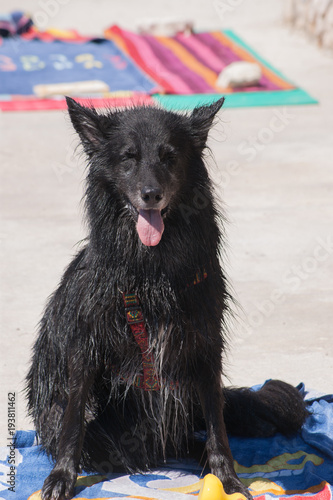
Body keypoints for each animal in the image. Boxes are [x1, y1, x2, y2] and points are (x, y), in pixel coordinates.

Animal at [25, 97, 306, 500]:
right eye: (128, 157)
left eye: (169, 157)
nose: (151, 194)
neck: (150, 273)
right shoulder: (85, 345)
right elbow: (74, 422)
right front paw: (61, 477)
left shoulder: (205, 344)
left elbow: (218, 428)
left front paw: (229, 480)